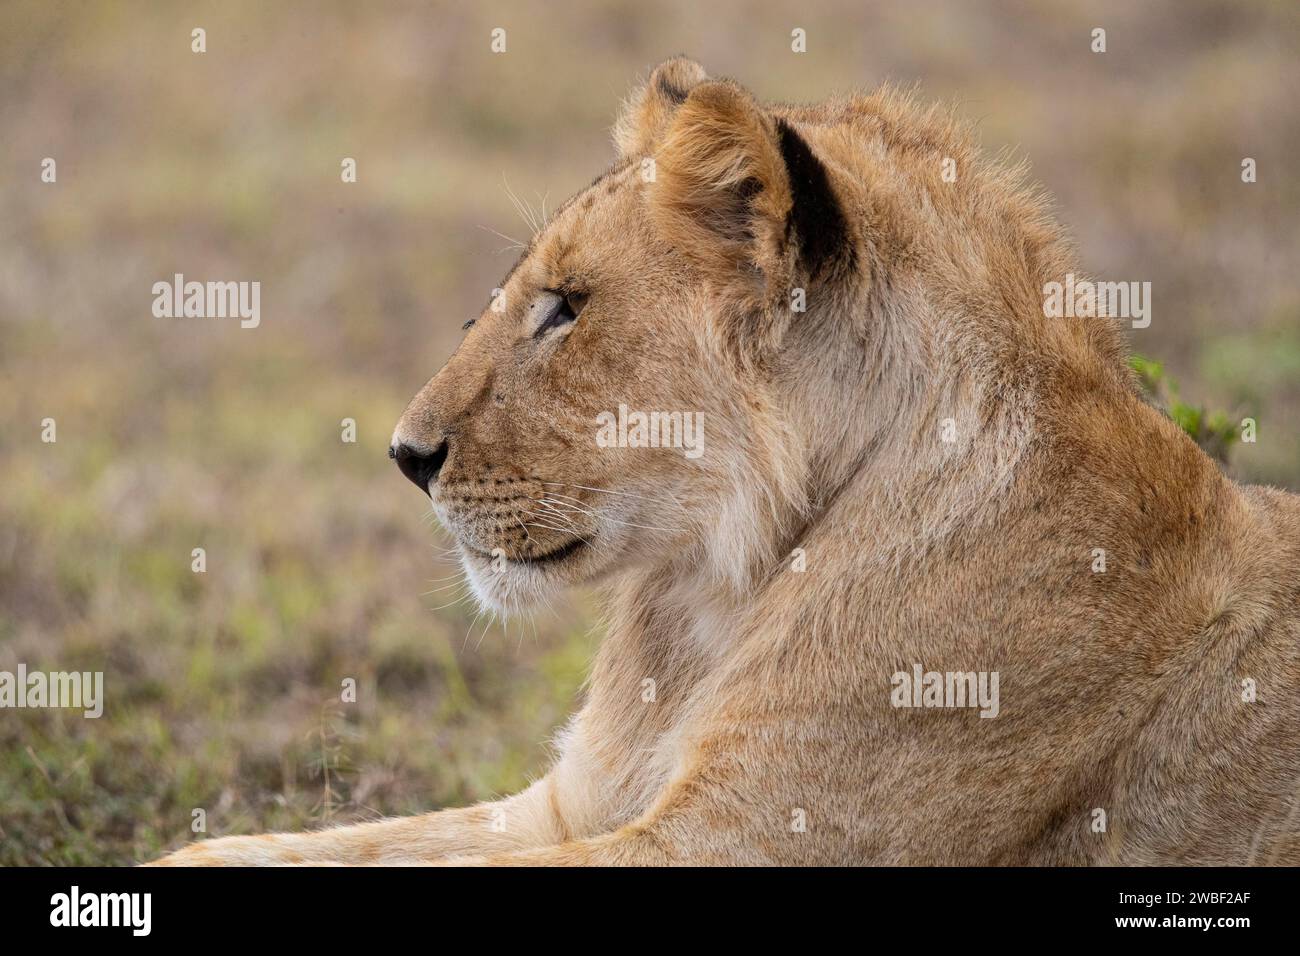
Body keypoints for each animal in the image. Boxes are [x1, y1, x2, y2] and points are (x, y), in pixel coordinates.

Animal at [154, 57, 1300, 866]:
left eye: (567, 307)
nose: (405, 455)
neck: (718, 592)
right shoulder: (565, 804)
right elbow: (262, 850)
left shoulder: (742, 838)